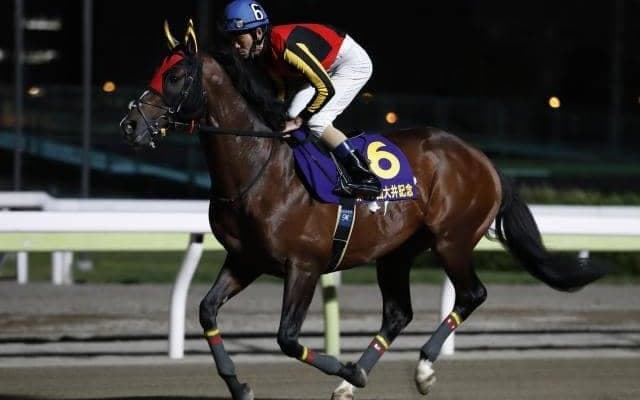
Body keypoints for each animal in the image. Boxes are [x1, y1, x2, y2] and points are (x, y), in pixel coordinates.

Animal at [120, 20, 610, 400]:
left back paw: (420, 370)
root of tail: (482, 158)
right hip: (396, 252)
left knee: (472, 295)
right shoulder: (246, 260)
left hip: (452, 240)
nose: (131, 125)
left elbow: (287, 337)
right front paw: (240, 386)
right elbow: (206, 311)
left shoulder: (304, 265)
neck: (260, 170)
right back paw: (352, 382)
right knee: (398, 313)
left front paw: (344, 369)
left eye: (176, 75)